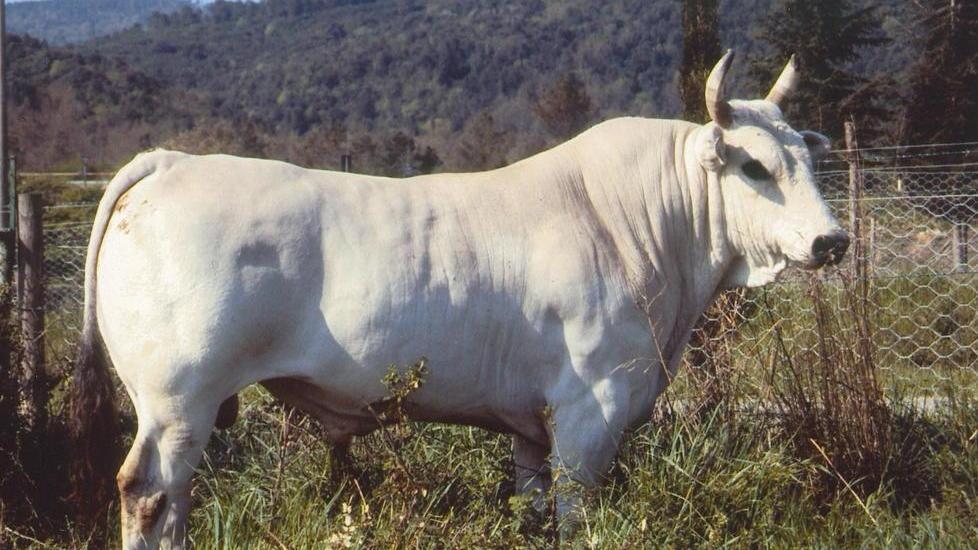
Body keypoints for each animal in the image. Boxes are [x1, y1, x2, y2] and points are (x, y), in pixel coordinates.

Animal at [70, 51, 848, 549]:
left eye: (809, 159)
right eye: (755, 167)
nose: (832, 240)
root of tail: (173, 161)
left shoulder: (534, 427)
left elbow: (533, 512)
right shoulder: (590, 410)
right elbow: (576, 517)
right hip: (178, 400)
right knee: (149, 494)